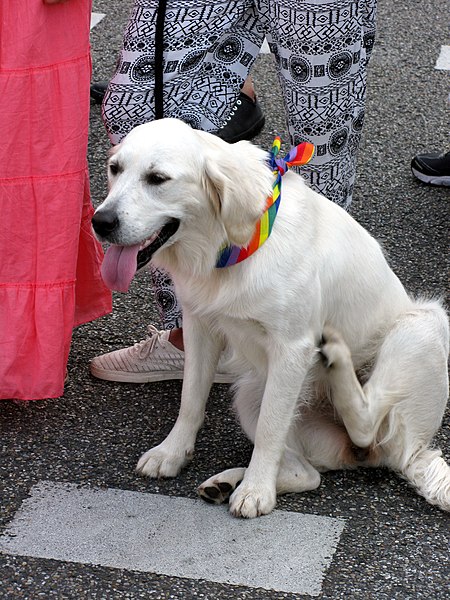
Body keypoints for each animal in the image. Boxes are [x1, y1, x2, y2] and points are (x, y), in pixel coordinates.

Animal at [92, 118, 450, 516]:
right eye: (115, 169)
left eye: (157, 178)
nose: (100, 221)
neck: (232, 243)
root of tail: (415, 456)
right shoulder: (200, 328)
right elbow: (191, 399)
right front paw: (172, 452)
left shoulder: (291, 348)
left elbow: (269, 429)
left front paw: (256, 491)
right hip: (251, 392)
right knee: (309, 474)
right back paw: (226, 482)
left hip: (423, 324)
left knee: (366, 426)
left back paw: (335, 361)